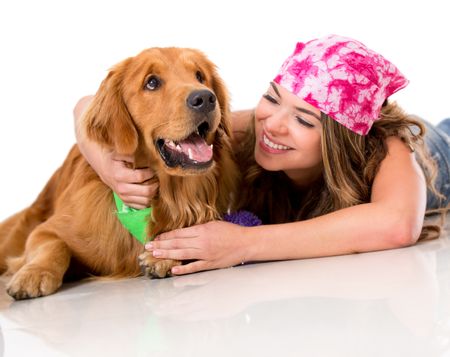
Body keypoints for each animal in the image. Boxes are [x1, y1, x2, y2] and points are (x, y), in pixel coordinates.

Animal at [0, 46, 239, 298]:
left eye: (200, 76)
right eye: (151, 82)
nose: (205, 98)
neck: (166, 194)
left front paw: (160, 257)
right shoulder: (46, 231)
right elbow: (54, 244)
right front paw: (34, 273)